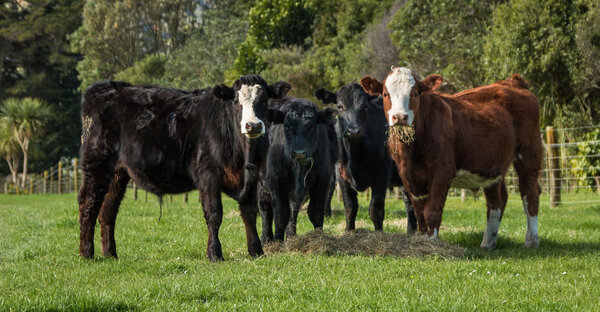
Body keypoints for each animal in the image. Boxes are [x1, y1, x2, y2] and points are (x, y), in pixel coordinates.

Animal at [78, 75, 290, 260]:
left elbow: (249, 213)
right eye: (237, 100)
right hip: (96, 164)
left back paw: (110, 254)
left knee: (108, 211)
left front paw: (256, 251)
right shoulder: (208, 175)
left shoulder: (252, 177)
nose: (253, 125)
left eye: (264, 100)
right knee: (88, 203)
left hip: (118, 173)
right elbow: (214, 214)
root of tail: (106, 87)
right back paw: (86, 253)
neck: (243, 155)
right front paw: (214, 253)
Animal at [258, 97, 338, 241]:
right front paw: (278, 242)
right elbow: (280, 216)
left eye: (312, 127)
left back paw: (291, 236)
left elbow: (316, 213)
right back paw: (265, 240)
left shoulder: (322, 180)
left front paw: (319, 238)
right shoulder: (276, 181)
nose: (299, 152)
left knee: (293, 211)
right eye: (287, 126)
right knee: (266, 210)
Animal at [314, 83, 418, 234]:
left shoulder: (381, 175)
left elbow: (375, 210)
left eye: (365, 106)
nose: (353, 131)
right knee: (409, 202)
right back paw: (411, 232)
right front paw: (349, 231)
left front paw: (379, 233)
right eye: (340, 106)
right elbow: (350, 208)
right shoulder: (341, 176)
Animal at [360, 67, 544, 249]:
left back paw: (531, 241)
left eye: (416, 93)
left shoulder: (442, 171)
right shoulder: (408, 175)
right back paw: (488, 243)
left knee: (530, 193)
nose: (400, 117)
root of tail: (512, 82)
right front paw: (422, 239)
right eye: (385, 94)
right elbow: (419, 212)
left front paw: (433, 243)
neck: (412, 149)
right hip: (493, 164)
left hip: (528, 152)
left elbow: (432, 211)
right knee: (497, 200)